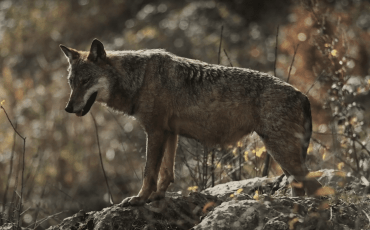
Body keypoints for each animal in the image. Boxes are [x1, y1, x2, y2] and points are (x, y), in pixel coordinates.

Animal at [60, 39, 320, 205]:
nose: (68, 108)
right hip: (283, 159)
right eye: (71, 82)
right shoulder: (169, 133)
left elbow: (149, 172)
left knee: (315, 187)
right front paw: (157, 197)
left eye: (85, 81)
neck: (139, 80)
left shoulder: (155, 131)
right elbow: (167, 172)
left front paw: (140, 199)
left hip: (281, 153)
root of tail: (303, 96)